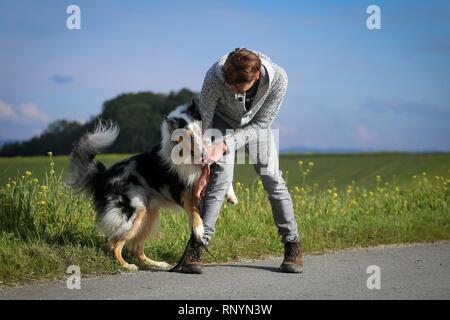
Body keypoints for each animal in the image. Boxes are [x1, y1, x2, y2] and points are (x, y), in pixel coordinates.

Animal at [68, 98, 237, 270]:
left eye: (198, 131)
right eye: (187, 136)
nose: (204, 154)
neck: (188, 155)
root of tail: (104, 175)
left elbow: (223, 177)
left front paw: (231, 196)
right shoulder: (180, 189)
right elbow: (193, 210)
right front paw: (198, 228)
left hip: (149, 215)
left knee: (136, 248)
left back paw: (158, 264)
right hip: (134, 211)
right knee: (113, 245)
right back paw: (127, 266)